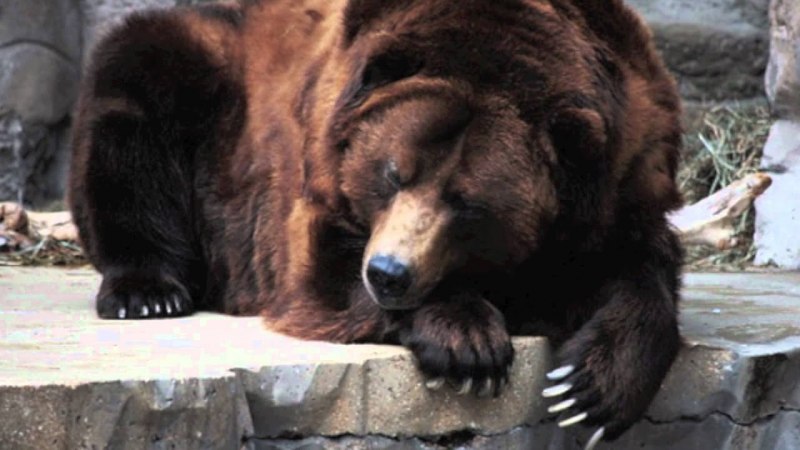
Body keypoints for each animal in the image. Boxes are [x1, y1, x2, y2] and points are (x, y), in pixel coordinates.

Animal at [67, 0, 685, 447]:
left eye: (467, 203)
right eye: (393, 173)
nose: (389, 273)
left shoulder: (620, 176)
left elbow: (640, 271)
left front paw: (588, 391)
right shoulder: (317, 154)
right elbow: (324, 269)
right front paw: (467, 341)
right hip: (215, 95)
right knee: (137, 77)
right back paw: (148, 291)